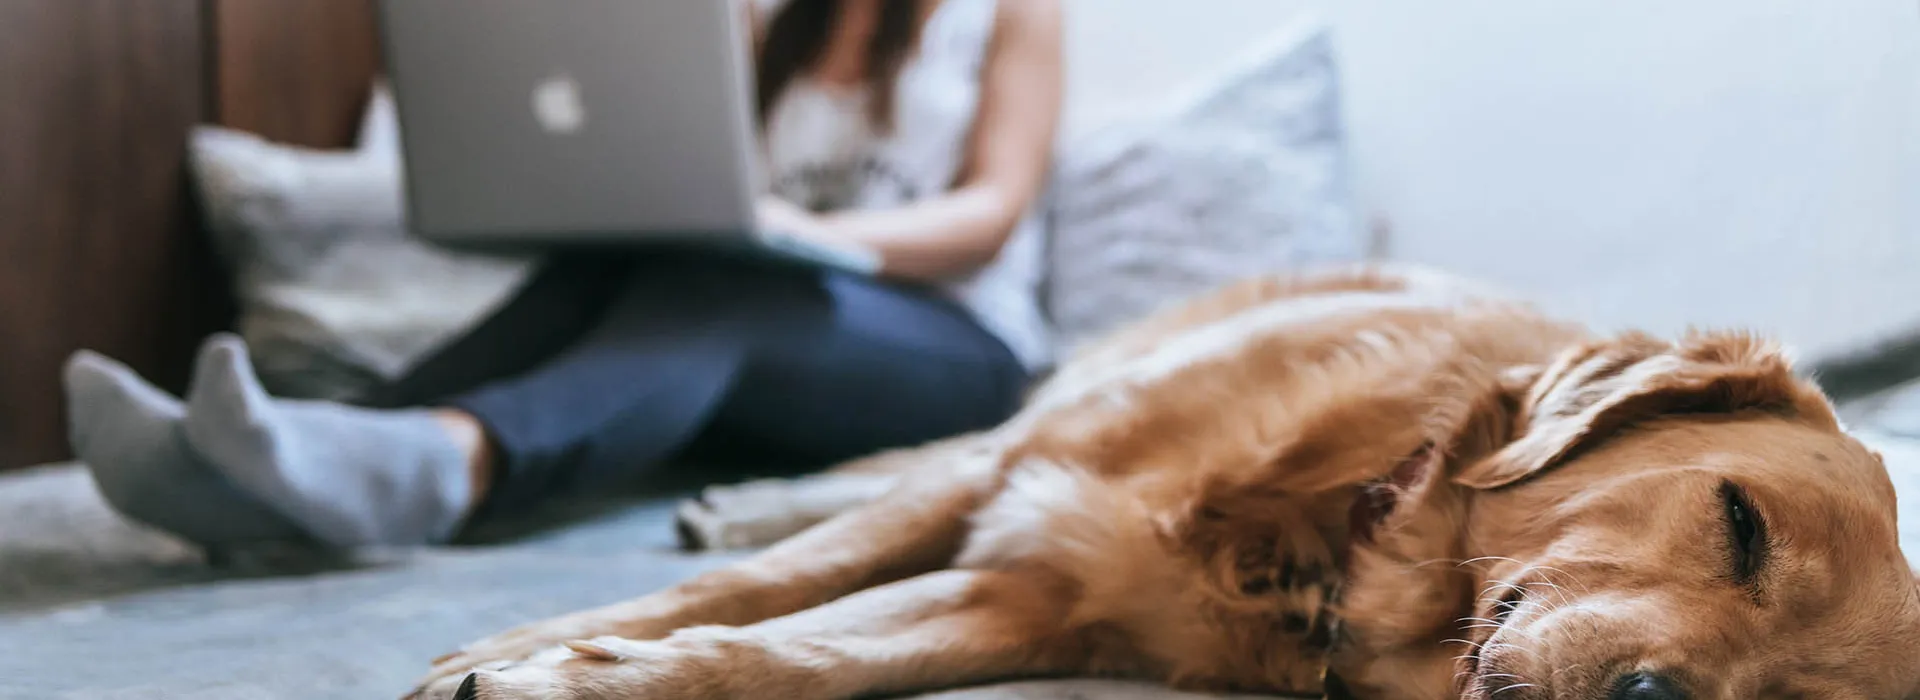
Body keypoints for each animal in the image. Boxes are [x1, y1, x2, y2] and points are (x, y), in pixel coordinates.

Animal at [405, 264, 1920, 694]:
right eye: (1738, 521)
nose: (1654, 699)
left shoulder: (1034, 597)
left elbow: (801, 651)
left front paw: (582, 675)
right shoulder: (1027, 477)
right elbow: (778, 582)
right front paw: (516, 648)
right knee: (889, 467)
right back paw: (738, 496)